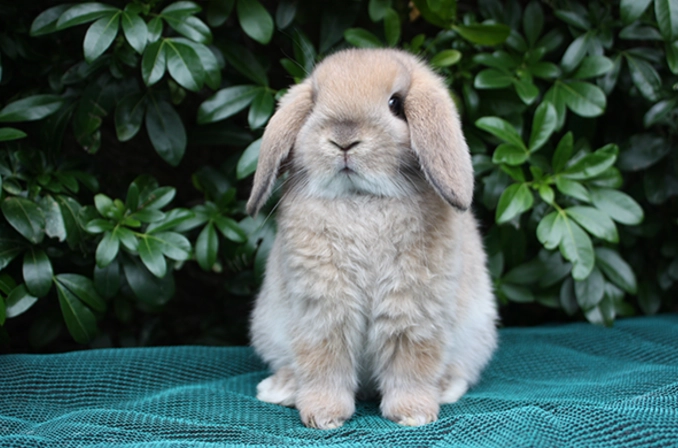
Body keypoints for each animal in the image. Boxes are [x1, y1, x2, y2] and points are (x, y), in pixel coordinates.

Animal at [246, 48, 498, 430]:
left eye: (396, 104)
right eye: (314, 102)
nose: (343, 139)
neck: (361, 199)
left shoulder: (413, 310)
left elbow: (411, 363)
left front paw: (413, 415)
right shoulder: (322, 310)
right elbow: (323, 362)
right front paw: (324, 417)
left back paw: (445, 389)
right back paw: (281, 389)